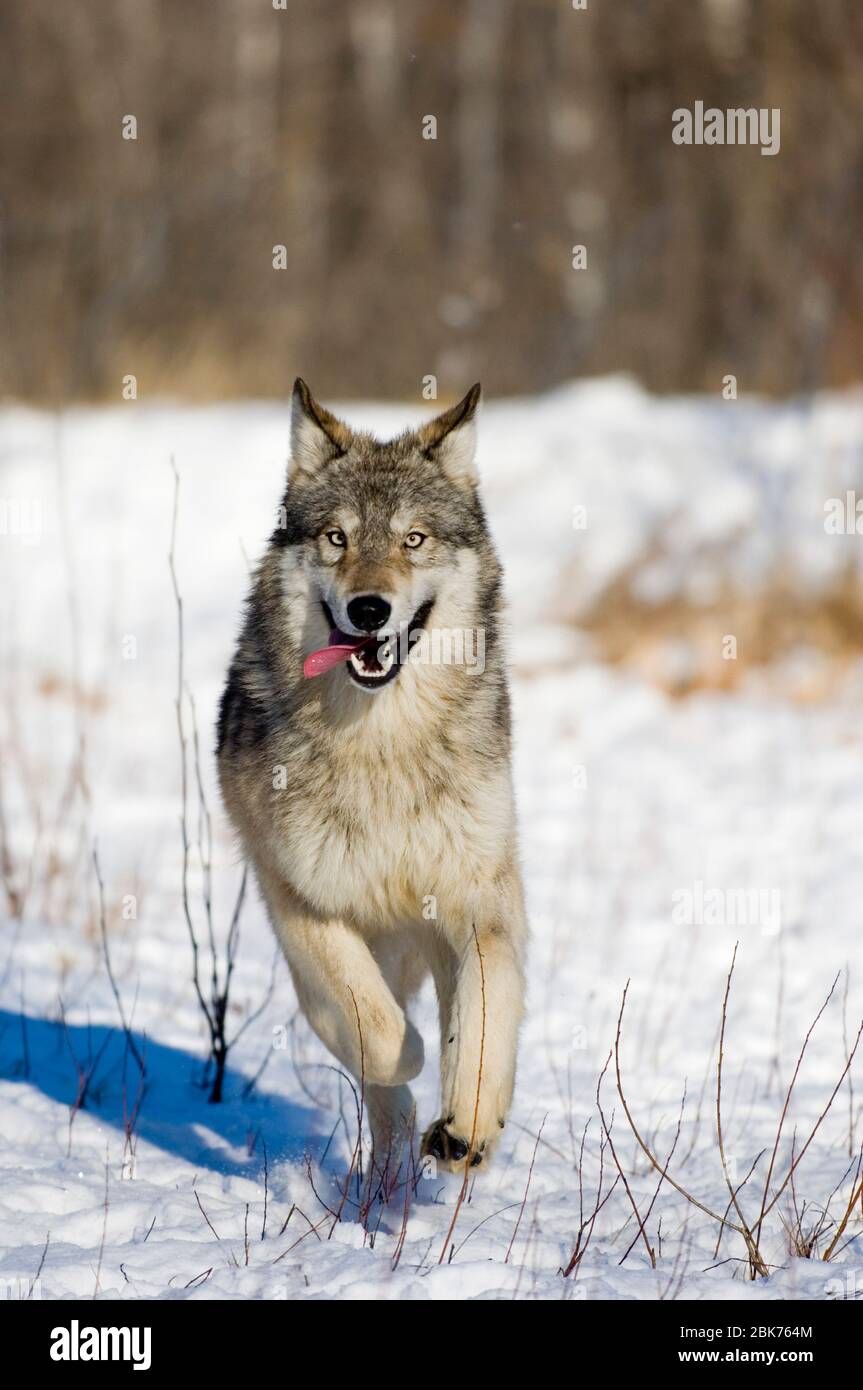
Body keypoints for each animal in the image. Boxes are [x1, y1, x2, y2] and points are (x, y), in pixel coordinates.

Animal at [217, 380, 527, 1172]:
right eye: (338, 538)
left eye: (413, 540)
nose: (368, 607)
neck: (383, 746)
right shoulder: (305, 905)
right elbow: (381, 1033)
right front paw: (411, 1061)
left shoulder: (480, 899)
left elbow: (485, 1017)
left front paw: (469, 1124)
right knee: (363, 1048)